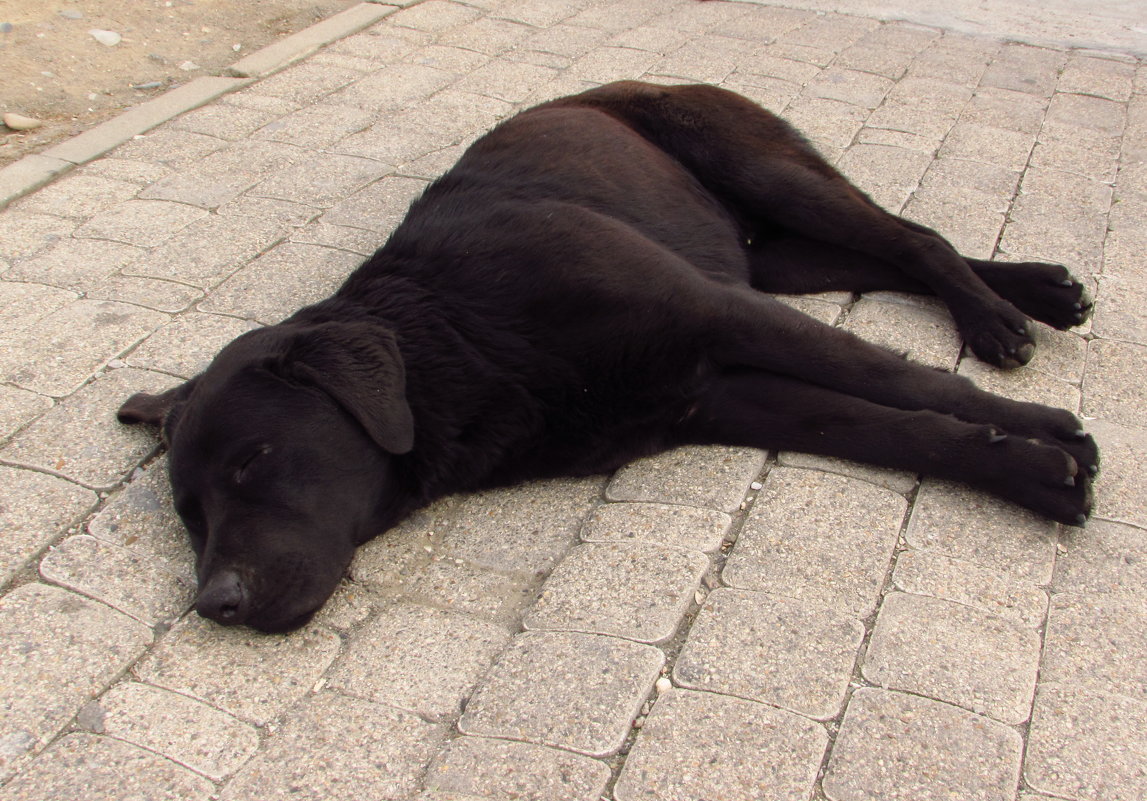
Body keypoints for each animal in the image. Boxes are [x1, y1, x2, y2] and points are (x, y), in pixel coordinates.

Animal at [121, 80, 1096, 628]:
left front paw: (1050, 431)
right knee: (898, 251)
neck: (459, 340)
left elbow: (894, 377)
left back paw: (998, 322)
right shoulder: (716, 394)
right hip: (776, 255)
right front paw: (1030, 470)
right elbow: (882, 427)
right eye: (188, 514)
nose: (215, 605)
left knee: (912, 239)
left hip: (758, 173)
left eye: (254, 459)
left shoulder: (720, 315)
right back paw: (1042, 290)